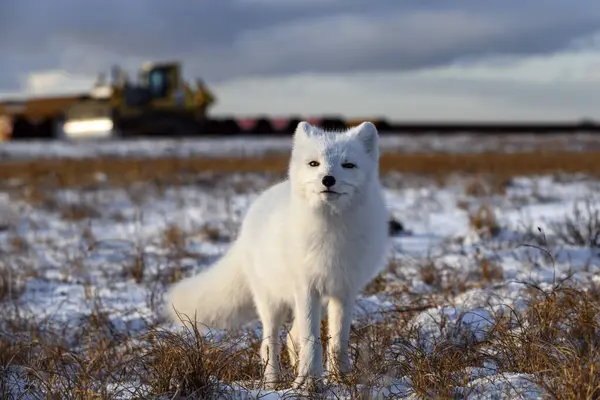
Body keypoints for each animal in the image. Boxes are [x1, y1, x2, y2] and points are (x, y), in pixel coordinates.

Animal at [164, 120, 390, 390]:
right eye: (314, 164)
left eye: (348, 165)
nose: (328, 179)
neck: (331, 230)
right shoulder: (306, 287)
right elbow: (312, 340)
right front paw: (309, 383)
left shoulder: (344, 291)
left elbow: (338, 341)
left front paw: (341, 380)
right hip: (271, 302)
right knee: (269, 343)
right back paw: (272, 383)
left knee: (292, 338)